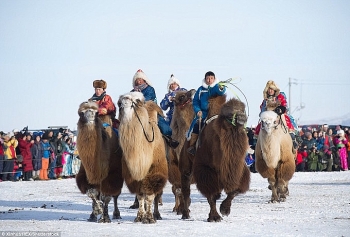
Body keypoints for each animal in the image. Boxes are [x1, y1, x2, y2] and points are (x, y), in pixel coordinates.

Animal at [117, 91, 169, 223]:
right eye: (119, 103)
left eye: (135, 102)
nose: (123, 105)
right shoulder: (132, 175)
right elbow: (140, 196)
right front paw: (140, 216)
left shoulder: (155, 172)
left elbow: (150, 196)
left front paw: (149, 218)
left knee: (157, 195)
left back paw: (157, 214)